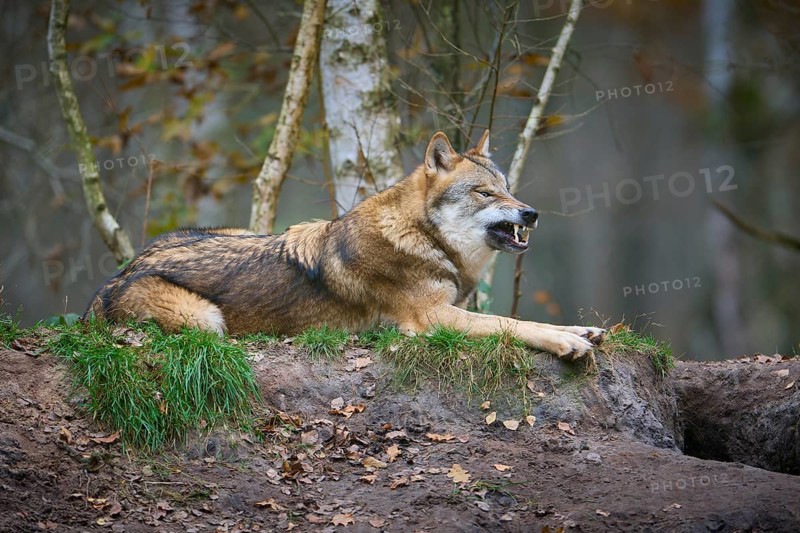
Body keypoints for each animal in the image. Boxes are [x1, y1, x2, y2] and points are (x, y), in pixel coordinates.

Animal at [85, 131, 605, 360]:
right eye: (485, 193)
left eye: (508, 189)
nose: (531, 213)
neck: (422, 237)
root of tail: (111, 282)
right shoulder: (433, 319)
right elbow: (510, 324)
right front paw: (565, 342)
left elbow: (524, 319)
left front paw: (581, 330)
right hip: (206, 320)